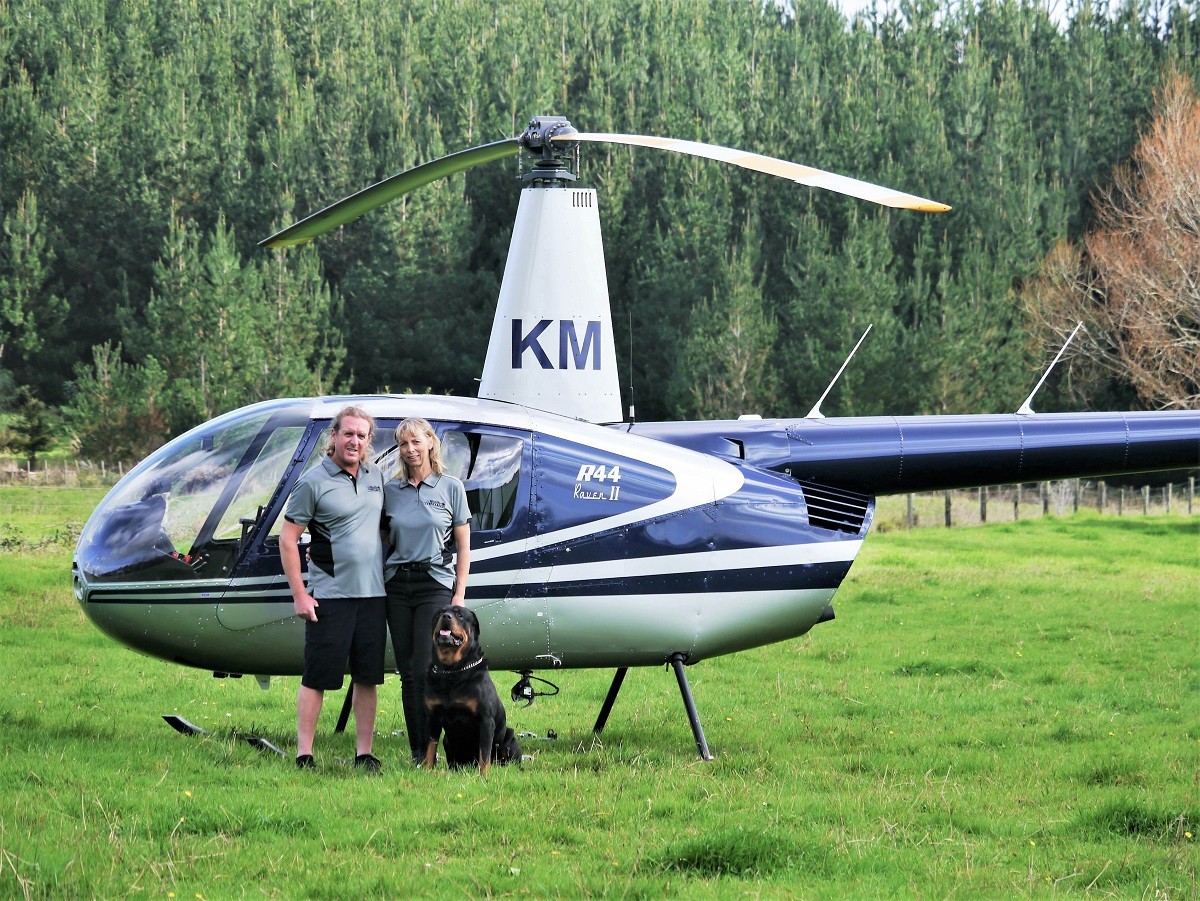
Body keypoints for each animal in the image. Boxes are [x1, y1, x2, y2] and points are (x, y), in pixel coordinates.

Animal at [422, 607, 520, 777]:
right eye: (440, 613)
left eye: (460, 614)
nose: (446, 616)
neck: (451, 671)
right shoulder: (433, 718)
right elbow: (430, 747)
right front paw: (427, 770)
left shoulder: (486, 720)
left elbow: (484, 752)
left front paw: (484, 775)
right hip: (447, 742)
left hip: (509, 737)